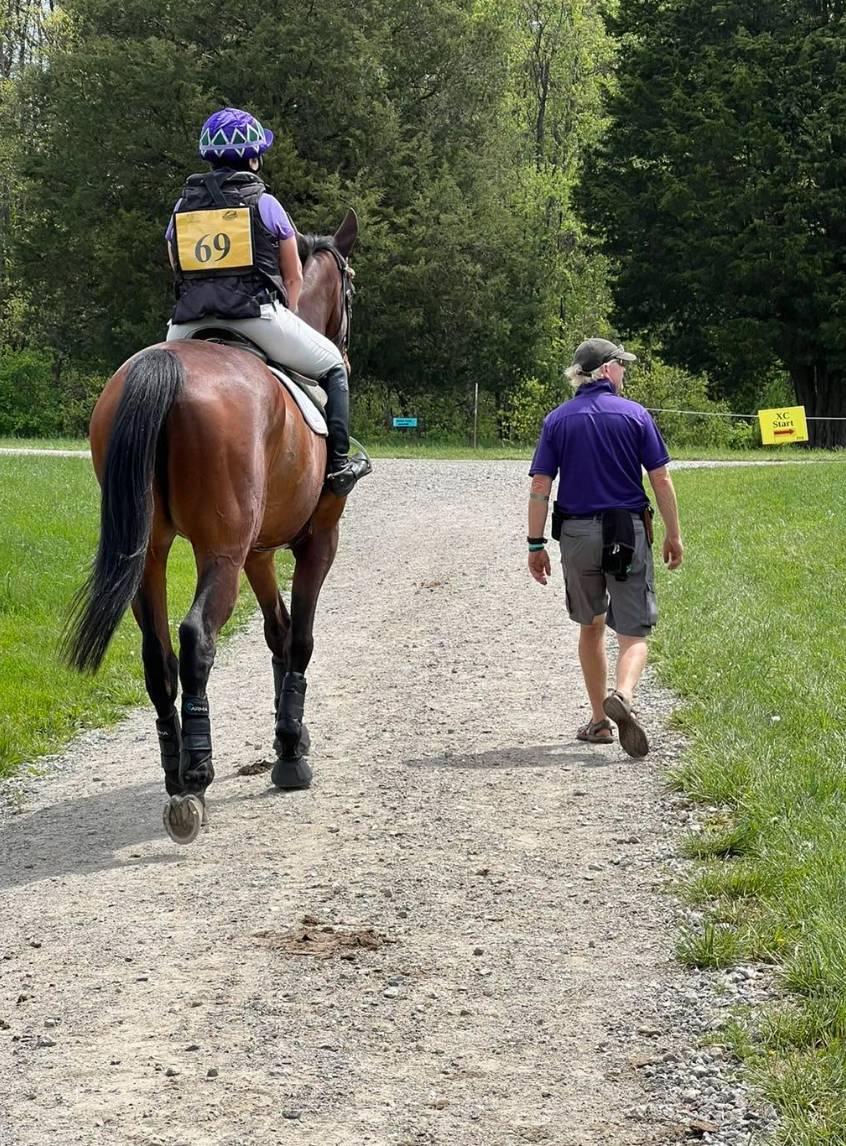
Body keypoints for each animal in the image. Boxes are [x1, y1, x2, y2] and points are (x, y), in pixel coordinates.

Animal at [62, 209, 360, 844]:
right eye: (352, 290)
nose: (346, 354)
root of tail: (165, 368)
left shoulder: (259, 552)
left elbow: (277, 632)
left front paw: (291, 738)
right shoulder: (316, 541)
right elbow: (301, 637)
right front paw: (291, 756)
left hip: (149, 554)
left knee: (156, 654)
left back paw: (176, 771)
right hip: (219, 551)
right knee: (197, 637)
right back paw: (196, 779)